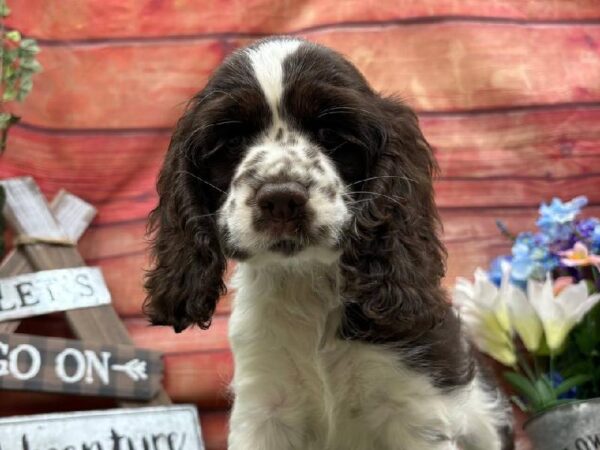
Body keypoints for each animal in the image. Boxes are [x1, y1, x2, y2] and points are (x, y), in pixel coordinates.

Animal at [143, 37, 512, 448]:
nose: (281, 199)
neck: (307, 283)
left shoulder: (414, 407)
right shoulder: (264, 408)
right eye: (233, 139)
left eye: (332, 134)